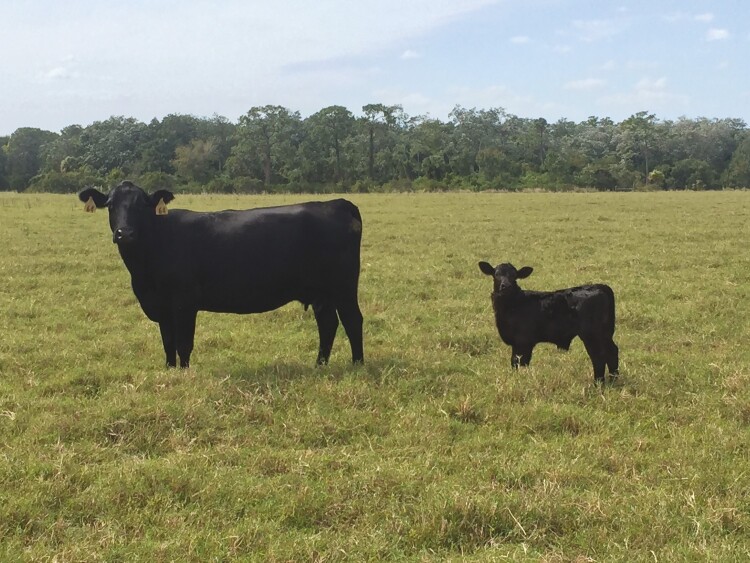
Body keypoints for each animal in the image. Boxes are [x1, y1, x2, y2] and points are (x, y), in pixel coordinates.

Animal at [79, 183, 364, 370]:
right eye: (110, 205)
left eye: (141, 206)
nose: (124, 233)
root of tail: (338, 203)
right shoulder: (161, 306)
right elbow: (168, 342)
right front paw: (170, 371)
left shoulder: (184, 303)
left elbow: (183, 343)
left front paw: (184, 373)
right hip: (321, 293)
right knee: (328, 324)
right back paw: (320, 366)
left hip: (344, 287)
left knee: (352, 320)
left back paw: (357, 365)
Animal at [478, 262, 620, 386]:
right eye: (496, 274)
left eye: (514, 275)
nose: (506, 286)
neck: (512, 304)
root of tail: (599, 286)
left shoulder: (523, 342)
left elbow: (519, 363)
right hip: (605, 334)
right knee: (612, 352)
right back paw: (613, 380)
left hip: (591, 335)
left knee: (598, 357)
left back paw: (598, 384)